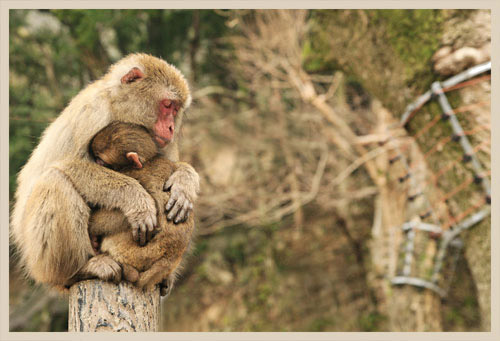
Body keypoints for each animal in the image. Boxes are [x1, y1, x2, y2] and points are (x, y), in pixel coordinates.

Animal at [88, 122, 195, 292]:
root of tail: (166, 261)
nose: (96, 163)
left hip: (128, 253)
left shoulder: (132, 174)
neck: (146, 161)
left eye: (101, 160)